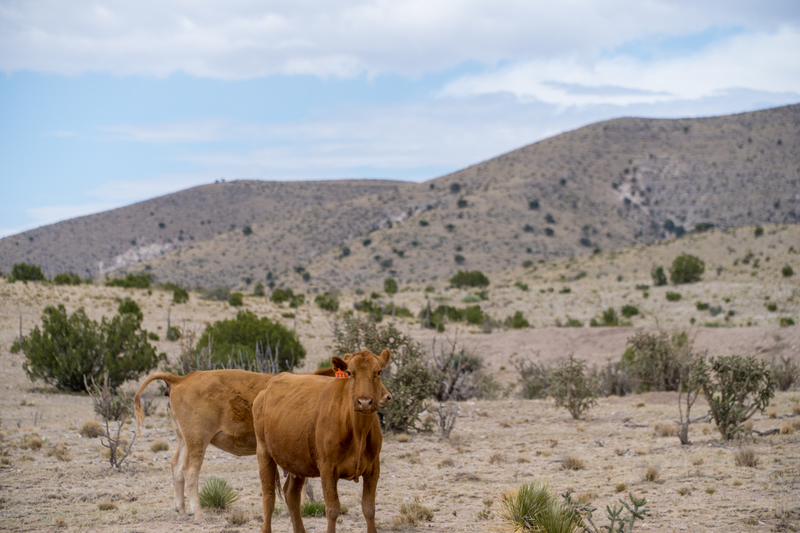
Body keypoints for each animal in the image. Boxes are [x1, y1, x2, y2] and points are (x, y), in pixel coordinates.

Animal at [134, 368, 334, 516]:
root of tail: (182, 378)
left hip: (184, 439)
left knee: (175, 466)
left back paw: (181, 511)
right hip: (198, 441)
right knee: (190, 470)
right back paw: (198, 513)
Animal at [253, 350, 390, 532]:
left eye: (379, 372)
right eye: (349, 373)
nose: (365, 402)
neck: (358, 433)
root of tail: (268, 386)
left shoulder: (373, 469)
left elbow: (369, 508)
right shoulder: (327, 468)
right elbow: (332, 509)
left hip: (297, 463)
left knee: (291, 495)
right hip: (264, 452)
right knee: (269, 498)